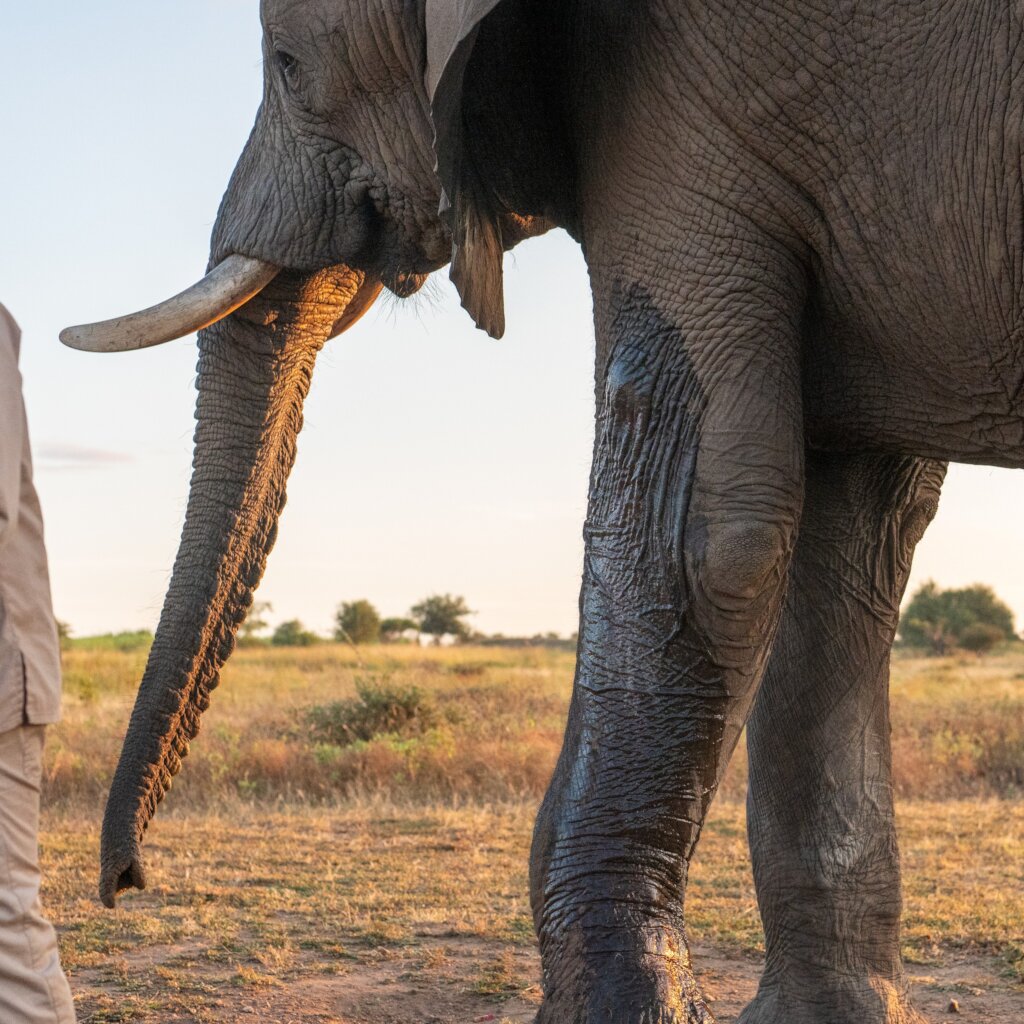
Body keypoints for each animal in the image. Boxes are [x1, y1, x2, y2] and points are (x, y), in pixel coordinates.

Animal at [60, 1, 1023, 1022]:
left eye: (285, 64)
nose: (127, 883)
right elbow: (844, 535)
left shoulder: (689, 95)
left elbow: (714, 529)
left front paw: (618, 1004)